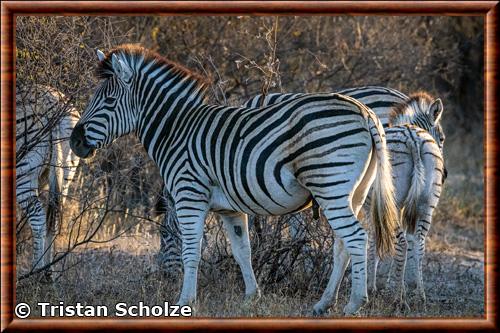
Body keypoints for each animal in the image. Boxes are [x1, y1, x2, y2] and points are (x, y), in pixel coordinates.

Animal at [15, 84, 81, 274]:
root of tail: (51, 104)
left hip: (24, 172)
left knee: (38, 219)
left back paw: (35, 271)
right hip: (67, 171)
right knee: (55, 217)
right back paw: (47, 272)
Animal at [70, 45, 398, 316]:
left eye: (109, 101)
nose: (75, 141)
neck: (176, 130)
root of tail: (364, 112)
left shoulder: (189, 195)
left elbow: (192, 251)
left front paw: (185, 302)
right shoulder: (230, 208)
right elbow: (243, 251)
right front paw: (252, 297)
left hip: (330, 185)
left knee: (356, 238)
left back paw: (355, 303)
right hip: (354, 192)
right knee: (342, 244)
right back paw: (324, 303)